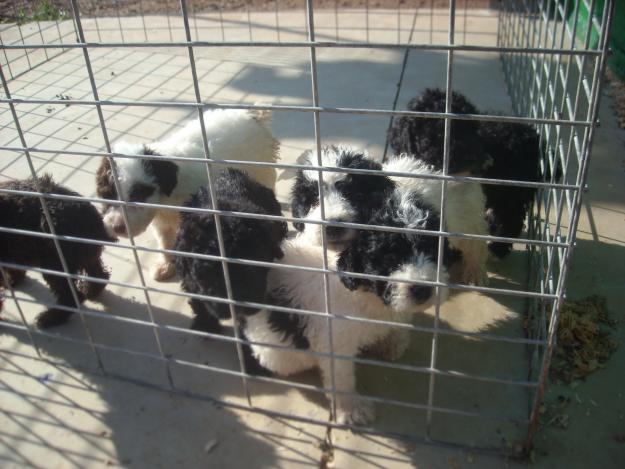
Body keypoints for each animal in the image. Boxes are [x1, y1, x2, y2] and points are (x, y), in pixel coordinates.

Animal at [0, 174, 114, 328]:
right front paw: (12, 279)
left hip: (56, 262)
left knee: (71, 297)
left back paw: (51, 318)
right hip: (83, 254)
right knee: (98, 274)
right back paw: (91, 291)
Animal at [96, 107, 280, 280]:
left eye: (139, 195)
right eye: (107, 195)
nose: (116, 227)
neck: (167, 198)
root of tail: (253, 115)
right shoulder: (162, 222)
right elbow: (165, 241)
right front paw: (166, 265)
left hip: (262, 170)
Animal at [173, 168, 286, 332]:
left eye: (252, 266)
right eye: (205, 275)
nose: (237, 300)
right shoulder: (190, 278)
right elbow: (197, 297)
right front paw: (205, 324)